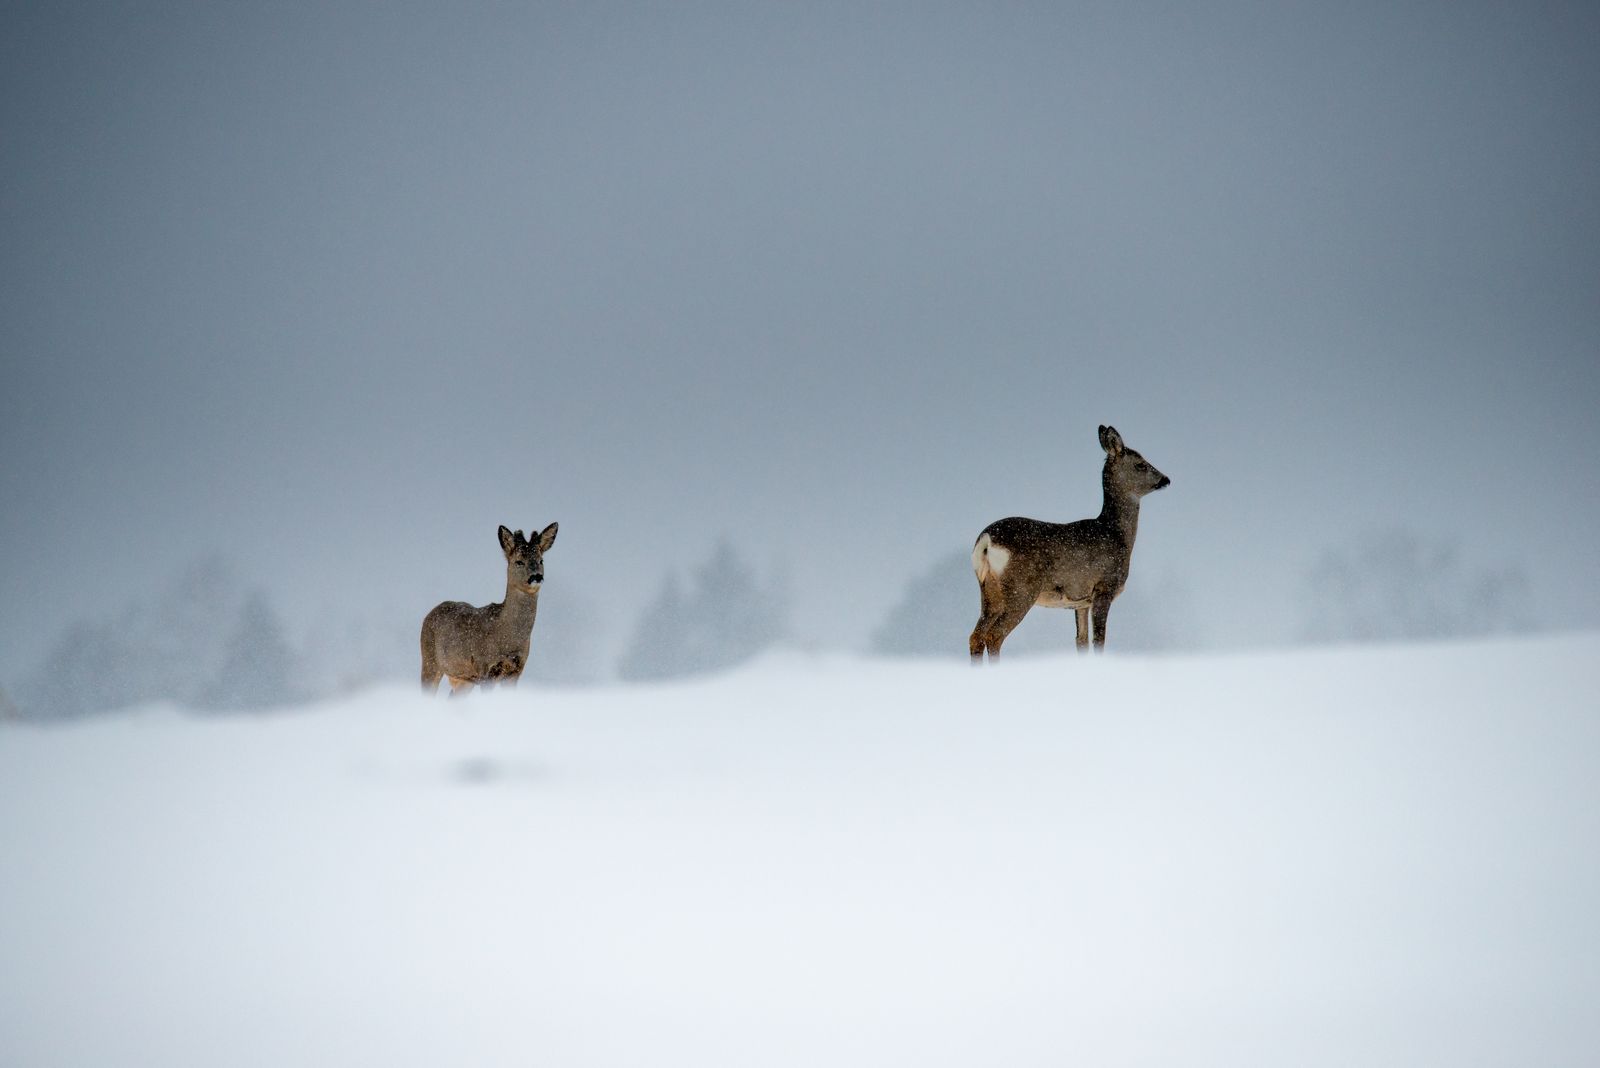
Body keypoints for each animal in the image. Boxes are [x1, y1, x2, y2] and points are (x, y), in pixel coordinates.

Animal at [421, 522, 558, 695]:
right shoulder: (485, 667)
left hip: (464, 680)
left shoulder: (516, 671)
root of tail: (431, 612)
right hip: (429, 659)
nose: (537, 576)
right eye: (519, 561)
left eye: (541, 560)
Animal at [969, 425, 1170, 662]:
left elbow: (1081, 641)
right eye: (1140, 464)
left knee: (976, 636)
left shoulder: (1081, 601)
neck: (1116, 534)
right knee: (993, 636)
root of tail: (986, 540)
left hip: (988, 592)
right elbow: (1099, 641)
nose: (1166, 479)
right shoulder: (1104, 588)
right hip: (1021, 589)